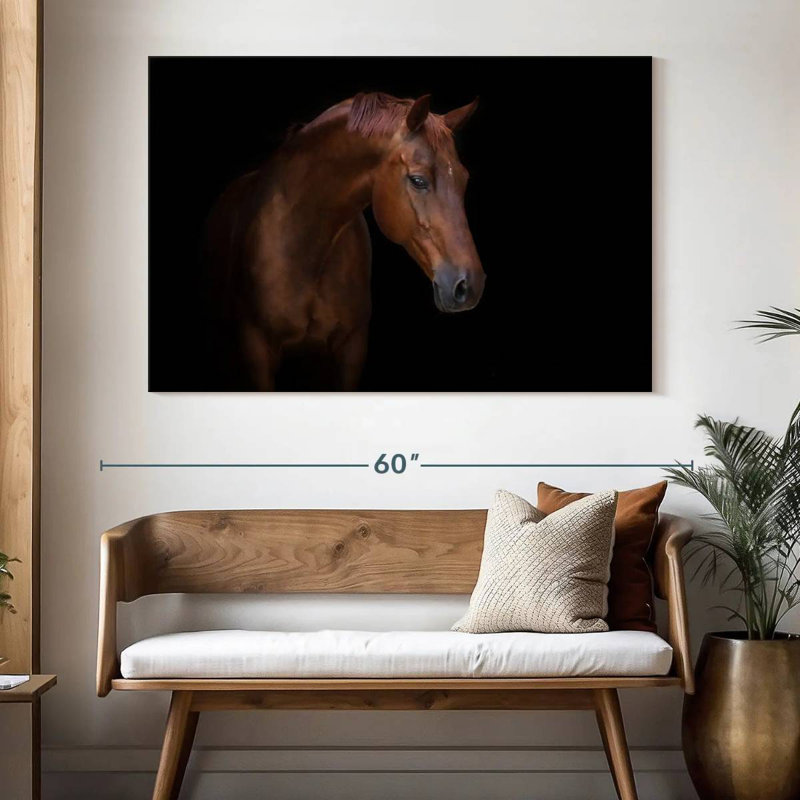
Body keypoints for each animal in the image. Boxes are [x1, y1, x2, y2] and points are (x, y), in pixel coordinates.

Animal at [205, 92, 485, 390]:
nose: (470, 285)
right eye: (418, 180)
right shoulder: (256, 350)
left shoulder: (350, 348)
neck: (306, 246)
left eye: (464, 180)